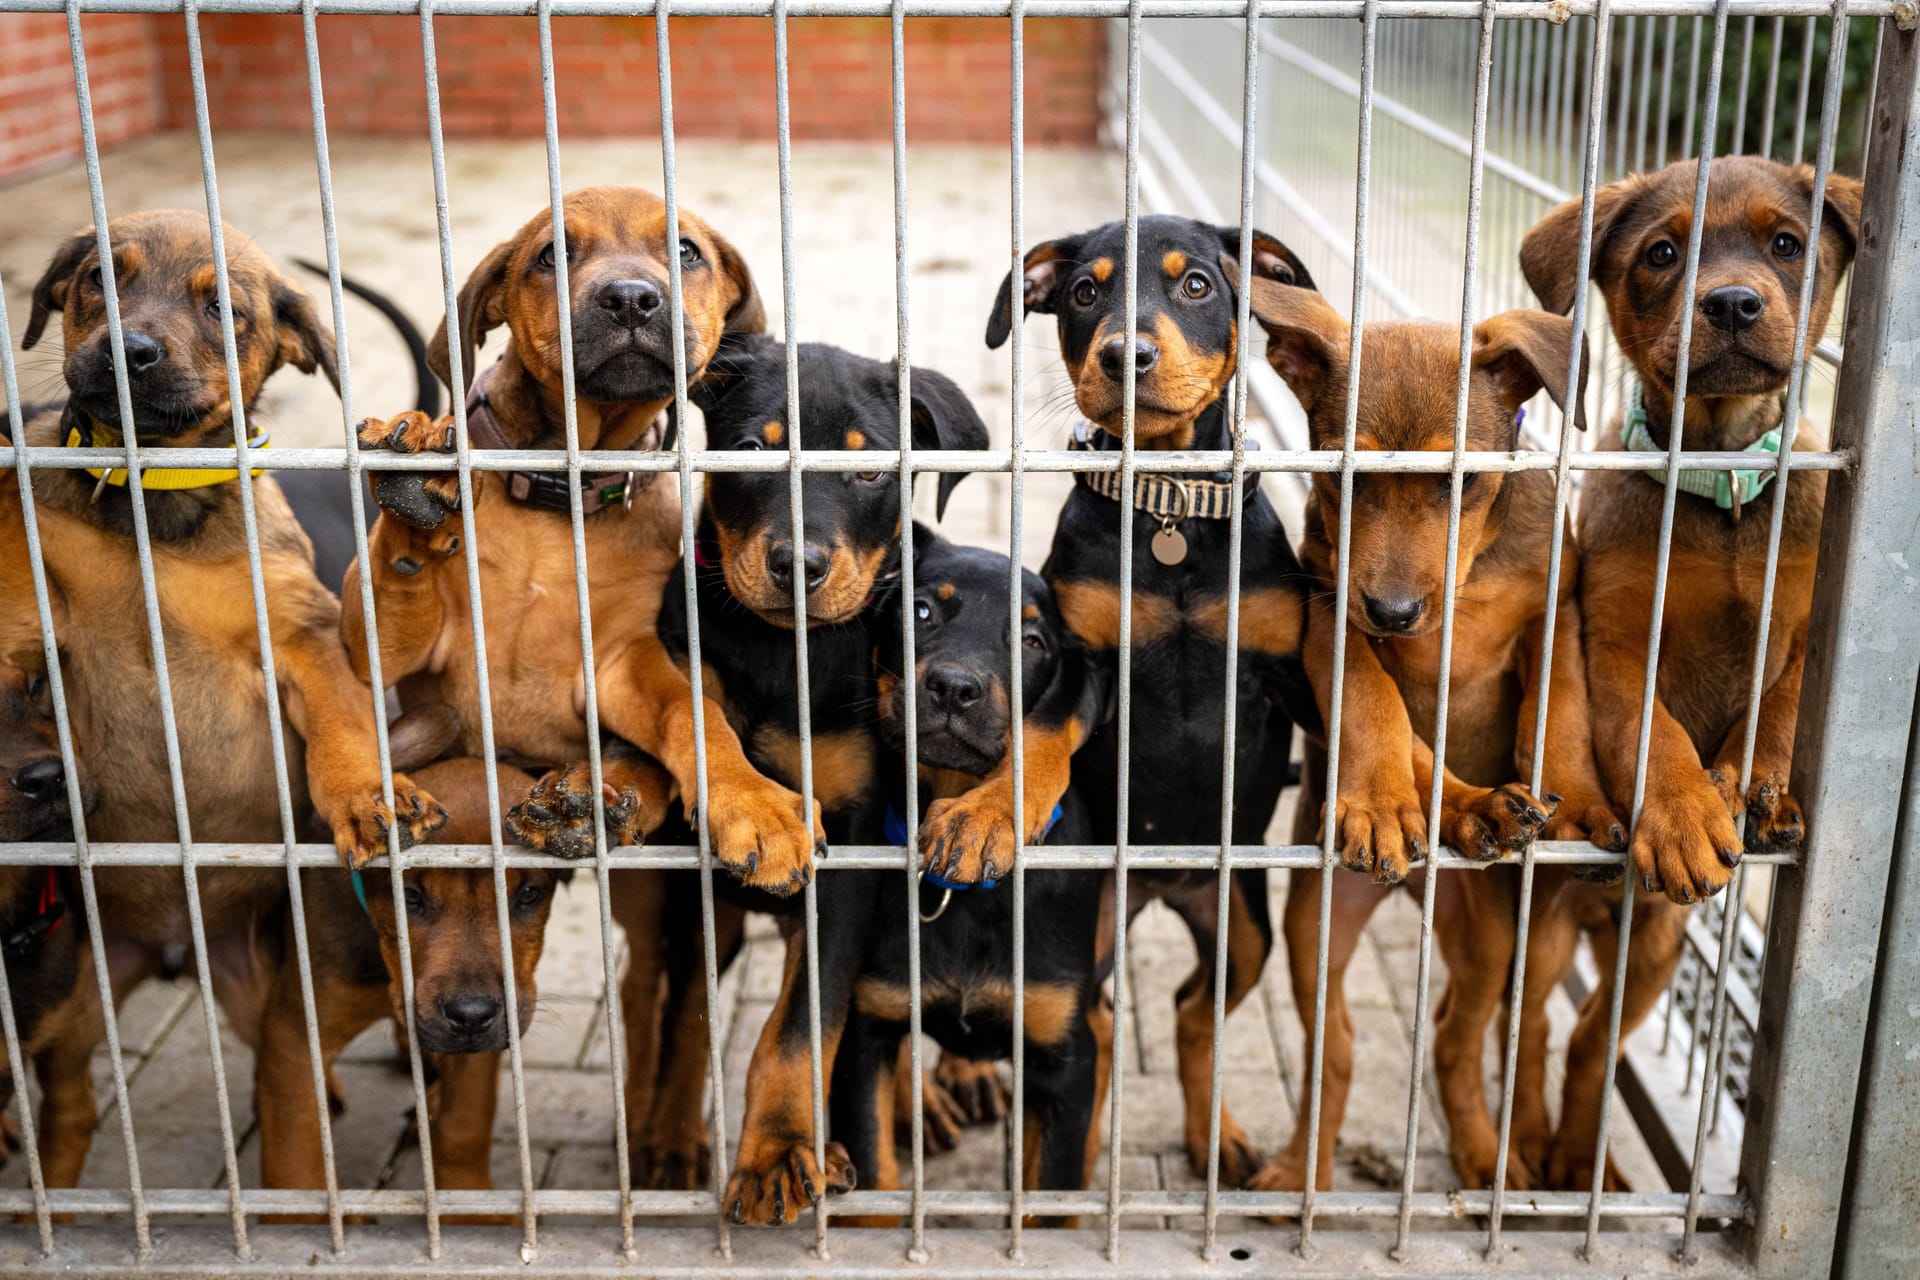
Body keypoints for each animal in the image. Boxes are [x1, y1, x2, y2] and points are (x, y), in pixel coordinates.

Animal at [990, 214, 1320, 1189]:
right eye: (1084, 292)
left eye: (1199, 285)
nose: (1122, 354)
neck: (1166, 501)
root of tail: (1166, 883)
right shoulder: (1084, 658)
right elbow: (1044, 725)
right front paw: (990, 812)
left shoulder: (1282, 663)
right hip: (1091, 916)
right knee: (1101, 1016)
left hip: (1242, 923)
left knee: (1189, 1008)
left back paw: (1221, 1140)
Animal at [1236, 280, 1628, 1189]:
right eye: (1345, 477)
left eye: (1466, 482)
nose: (1395, 612)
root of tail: (1418, 891)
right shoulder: (1329, 614)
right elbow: (1380, 706)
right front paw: (1393, 804)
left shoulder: (1554, 612)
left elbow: (1560, 709)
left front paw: (1574, 806)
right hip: (1315, 921)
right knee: (1336, 1048)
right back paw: (1298, 1173)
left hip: (1486, 934)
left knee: (1454, 1033)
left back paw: (1488, 1158)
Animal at [1512, 157, 1858, 1189]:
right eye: (1663, 254)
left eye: (1786, 243)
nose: (1735, 303)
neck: (1718, 482)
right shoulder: (1619, 635)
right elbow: (1650, 731)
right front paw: (1682, 812)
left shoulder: (1804, 627)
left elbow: (1777, 706)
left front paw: (1752, 787)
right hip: (1549, 933)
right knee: (1526, 1031)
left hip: (1656, 950)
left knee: (1592, 1037)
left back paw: (1576, 1160)